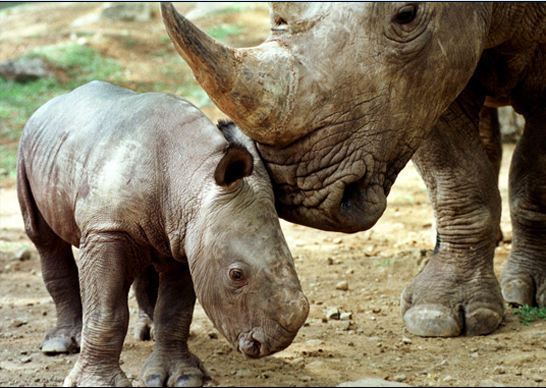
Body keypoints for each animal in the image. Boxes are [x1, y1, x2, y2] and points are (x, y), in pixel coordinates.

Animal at [17, 80, 308, 386]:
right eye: (236, 274)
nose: (277, 341)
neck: (192, 177)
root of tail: (50, 104)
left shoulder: (189, 238)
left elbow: (174, 310)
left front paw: (180, 377)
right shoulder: (105, 230)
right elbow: (106, 311)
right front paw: (97, 383)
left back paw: (149, 331)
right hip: (28, 145)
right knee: (43, 238)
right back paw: (59, 346)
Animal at [162, 2, 544, 336]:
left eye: (408, 15)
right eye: (276, 16)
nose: (301, 196)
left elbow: (532, 177)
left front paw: (524, 293)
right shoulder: (426, 88)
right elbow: (457, 173)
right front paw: (439, 313)